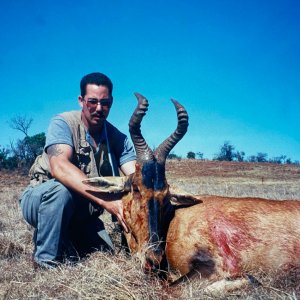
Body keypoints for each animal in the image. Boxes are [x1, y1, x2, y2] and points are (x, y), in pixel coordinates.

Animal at [83, 93, 300, 292]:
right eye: (136, 187)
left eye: (166, 196)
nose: (153, 257)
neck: (175, 219)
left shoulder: (211, 266)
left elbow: (171, 288)